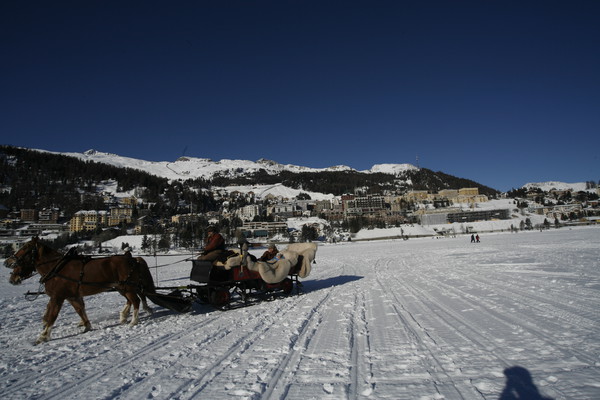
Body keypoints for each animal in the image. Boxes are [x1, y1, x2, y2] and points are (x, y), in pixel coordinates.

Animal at [5, 238, 156, 344]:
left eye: (25, 248)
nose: (7, 263)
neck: (57, 268)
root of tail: (133, 259)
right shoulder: (72, 296)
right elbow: (79, 310)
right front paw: (86, 325)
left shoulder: (58, 297)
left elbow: (52, 315)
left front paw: (43, 336)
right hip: (122, 287)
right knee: (133, 299)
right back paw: (125, 316)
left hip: (128, 287)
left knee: (136, 300)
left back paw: (133, 321)